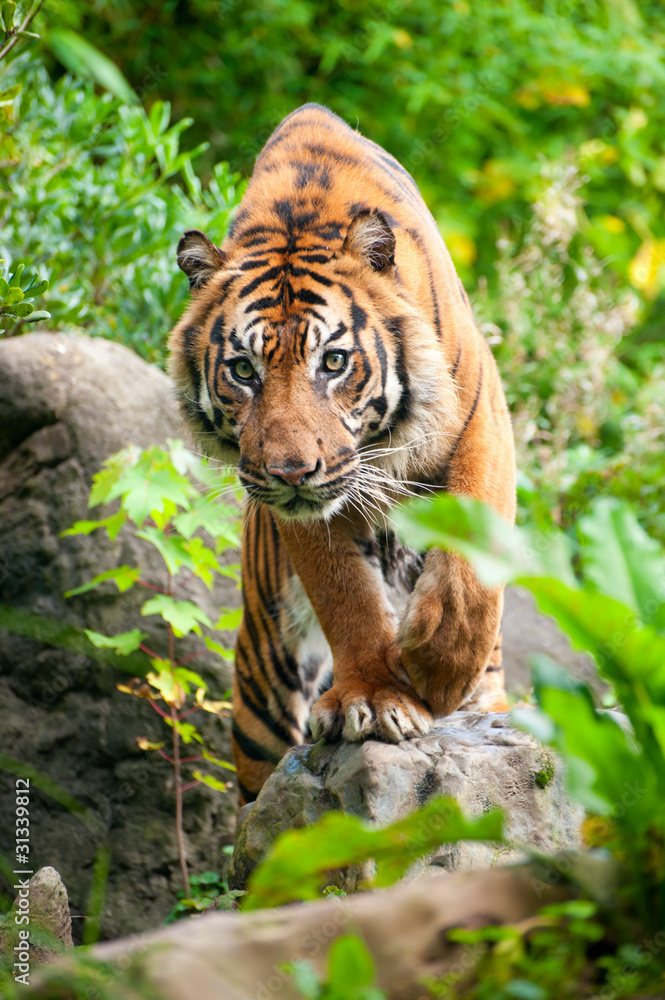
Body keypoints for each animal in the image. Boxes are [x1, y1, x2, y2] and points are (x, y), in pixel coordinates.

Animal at [168, 103, 516, 805]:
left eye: (332, 361)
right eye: (242, 370)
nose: (290, 470)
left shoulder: (482, 421)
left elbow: (470, 566)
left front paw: (435, 670)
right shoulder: (302, 506)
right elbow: (345, 594)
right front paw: (376, 697)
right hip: (261, 688)